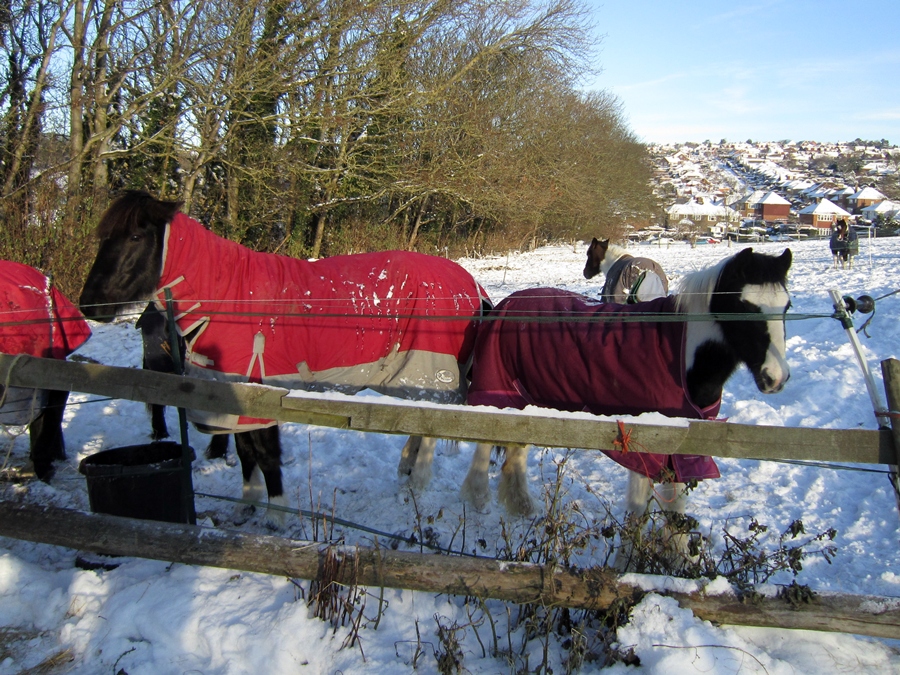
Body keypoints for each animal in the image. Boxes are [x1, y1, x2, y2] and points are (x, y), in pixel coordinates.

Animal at [78, 190, 488, 527]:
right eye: (103, 238)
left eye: (135, 236)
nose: (90, 305)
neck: (230, 299)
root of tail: (470, 284)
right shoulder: (233, 396)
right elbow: (245, 452)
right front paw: (248, 504)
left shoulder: (262, 391)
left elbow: (265, 454)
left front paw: (276, 511)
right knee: (422, 419)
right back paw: (405, 469)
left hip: (431, 369)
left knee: (433, 424)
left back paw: (417, 481)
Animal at [455, 247, 792, 566]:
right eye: (744, 307)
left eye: (786, 307)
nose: (776, 378)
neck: (683, 356)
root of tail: (504, 305)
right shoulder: (646, 446)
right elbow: (639, 509)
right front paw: (626, 560)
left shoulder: (686, 448)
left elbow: (676, 507)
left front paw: (678, 558)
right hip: (497, 398)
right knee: (485, 447)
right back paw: (479, 501)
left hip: (526, 404)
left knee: (516, 451)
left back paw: (523, 507)